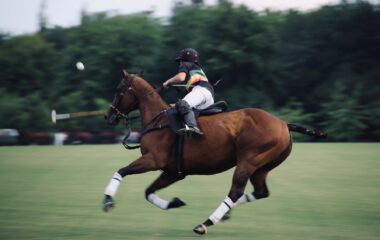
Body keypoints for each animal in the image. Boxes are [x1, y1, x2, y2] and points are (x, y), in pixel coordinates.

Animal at [101, 71, 326, 234]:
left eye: (119, 90)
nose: (108, 116)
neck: (158, 120)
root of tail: (283, 123)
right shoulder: (173, 172)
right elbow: (149, 192)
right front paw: (175, 202)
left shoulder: (152, 160)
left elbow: (121, 171)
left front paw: (107, 200)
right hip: (263, 166)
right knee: (261, 192)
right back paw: (224, 215)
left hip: (248, 161)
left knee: (235, 192)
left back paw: (205, 223)